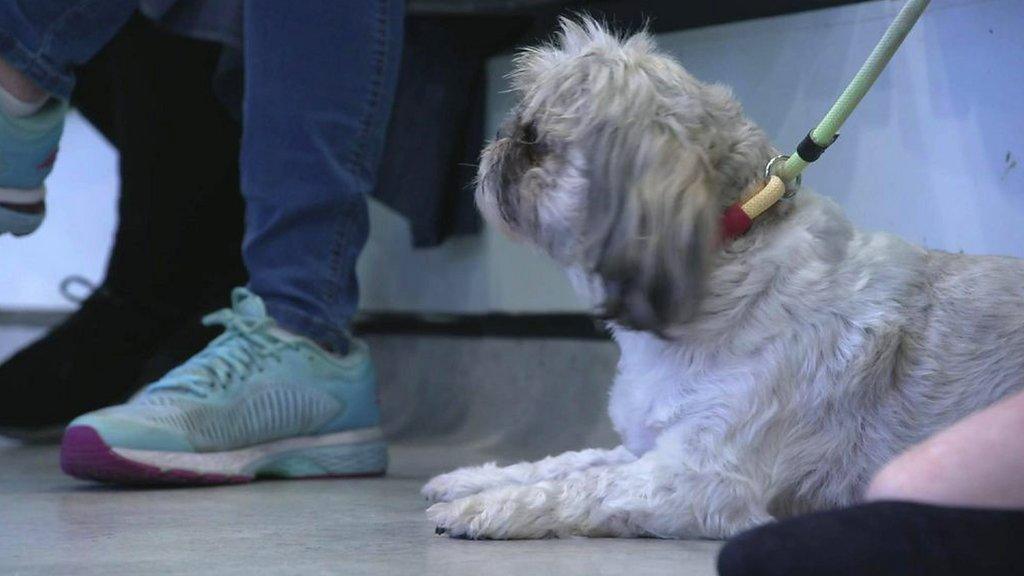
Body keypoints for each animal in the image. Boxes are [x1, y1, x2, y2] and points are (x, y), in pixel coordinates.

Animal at [419, 17, 1019, 537]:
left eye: (535, 138)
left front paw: (486, 507)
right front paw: (475, 479)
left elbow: (586, 485)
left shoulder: (699, 478)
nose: (500, 135)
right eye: (517, 121)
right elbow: (569, 461)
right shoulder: (650, 445)